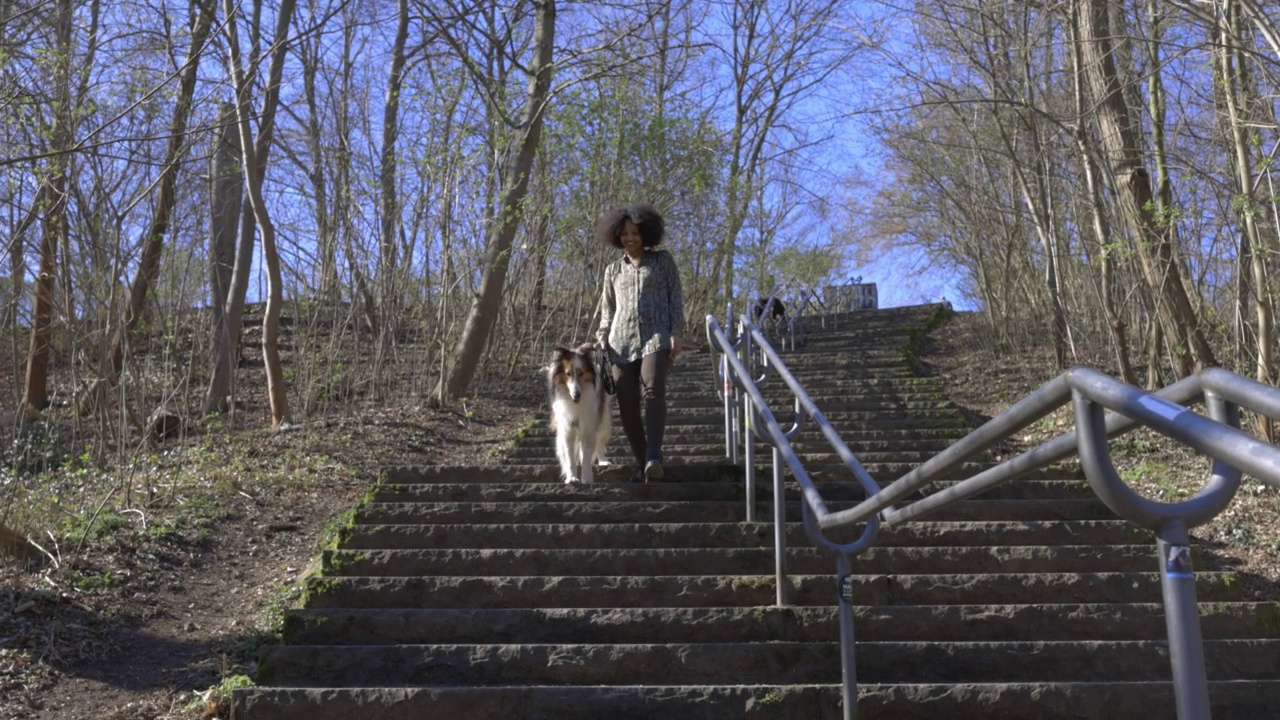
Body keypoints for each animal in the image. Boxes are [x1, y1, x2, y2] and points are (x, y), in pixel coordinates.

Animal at [547, 340, 611, 481]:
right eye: (568, 373)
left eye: (581, 373)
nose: (576, 394)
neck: (575, 403)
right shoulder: (568, 429)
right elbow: (570, 457)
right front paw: (572, 478)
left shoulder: (588, 427)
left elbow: (586, 456)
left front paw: (586, 479)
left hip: (603, 421)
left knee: (599, 442)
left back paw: (603, 461)